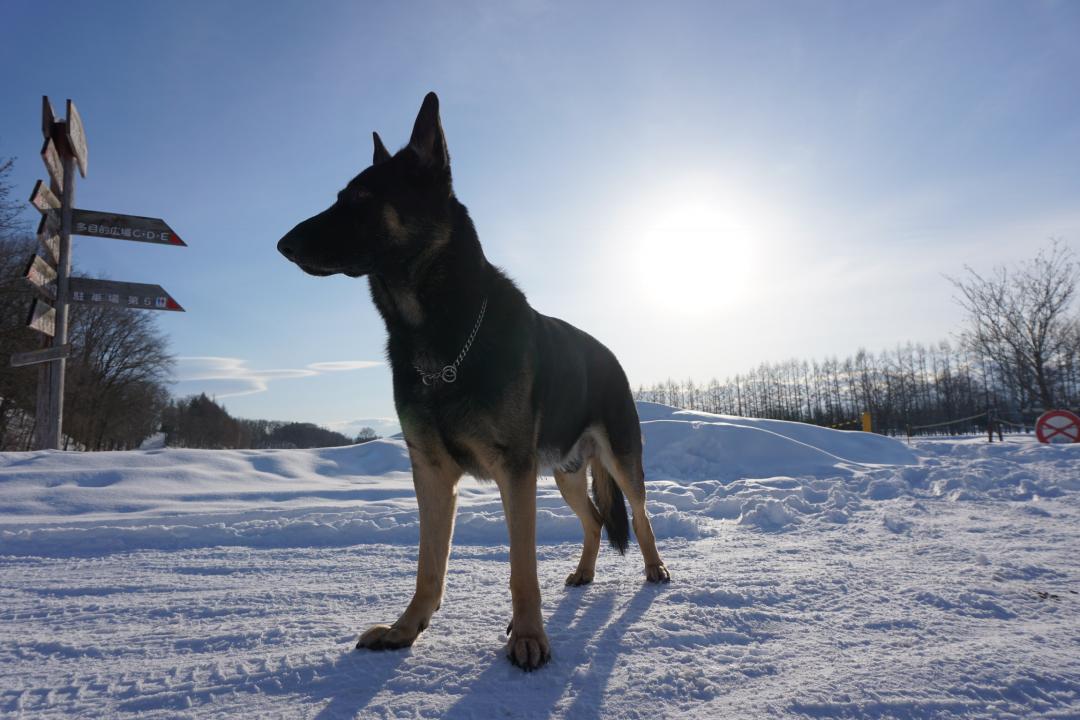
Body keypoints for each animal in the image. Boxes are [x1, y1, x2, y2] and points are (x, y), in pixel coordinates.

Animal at [278, 94, 665, 669]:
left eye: (359, 198)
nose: (282, 244)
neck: (439, 334)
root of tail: (611, 356)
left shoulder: (514, 473)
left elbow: (522, 568)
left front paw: (528, 636)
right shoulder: (432, 473)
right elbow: (428, 565)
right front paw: (405, 629)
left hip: (619, 460)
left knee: (639, 516)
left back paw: (655, 569)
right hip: (564, 475)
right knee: (594, 520)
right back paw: (583, 572)